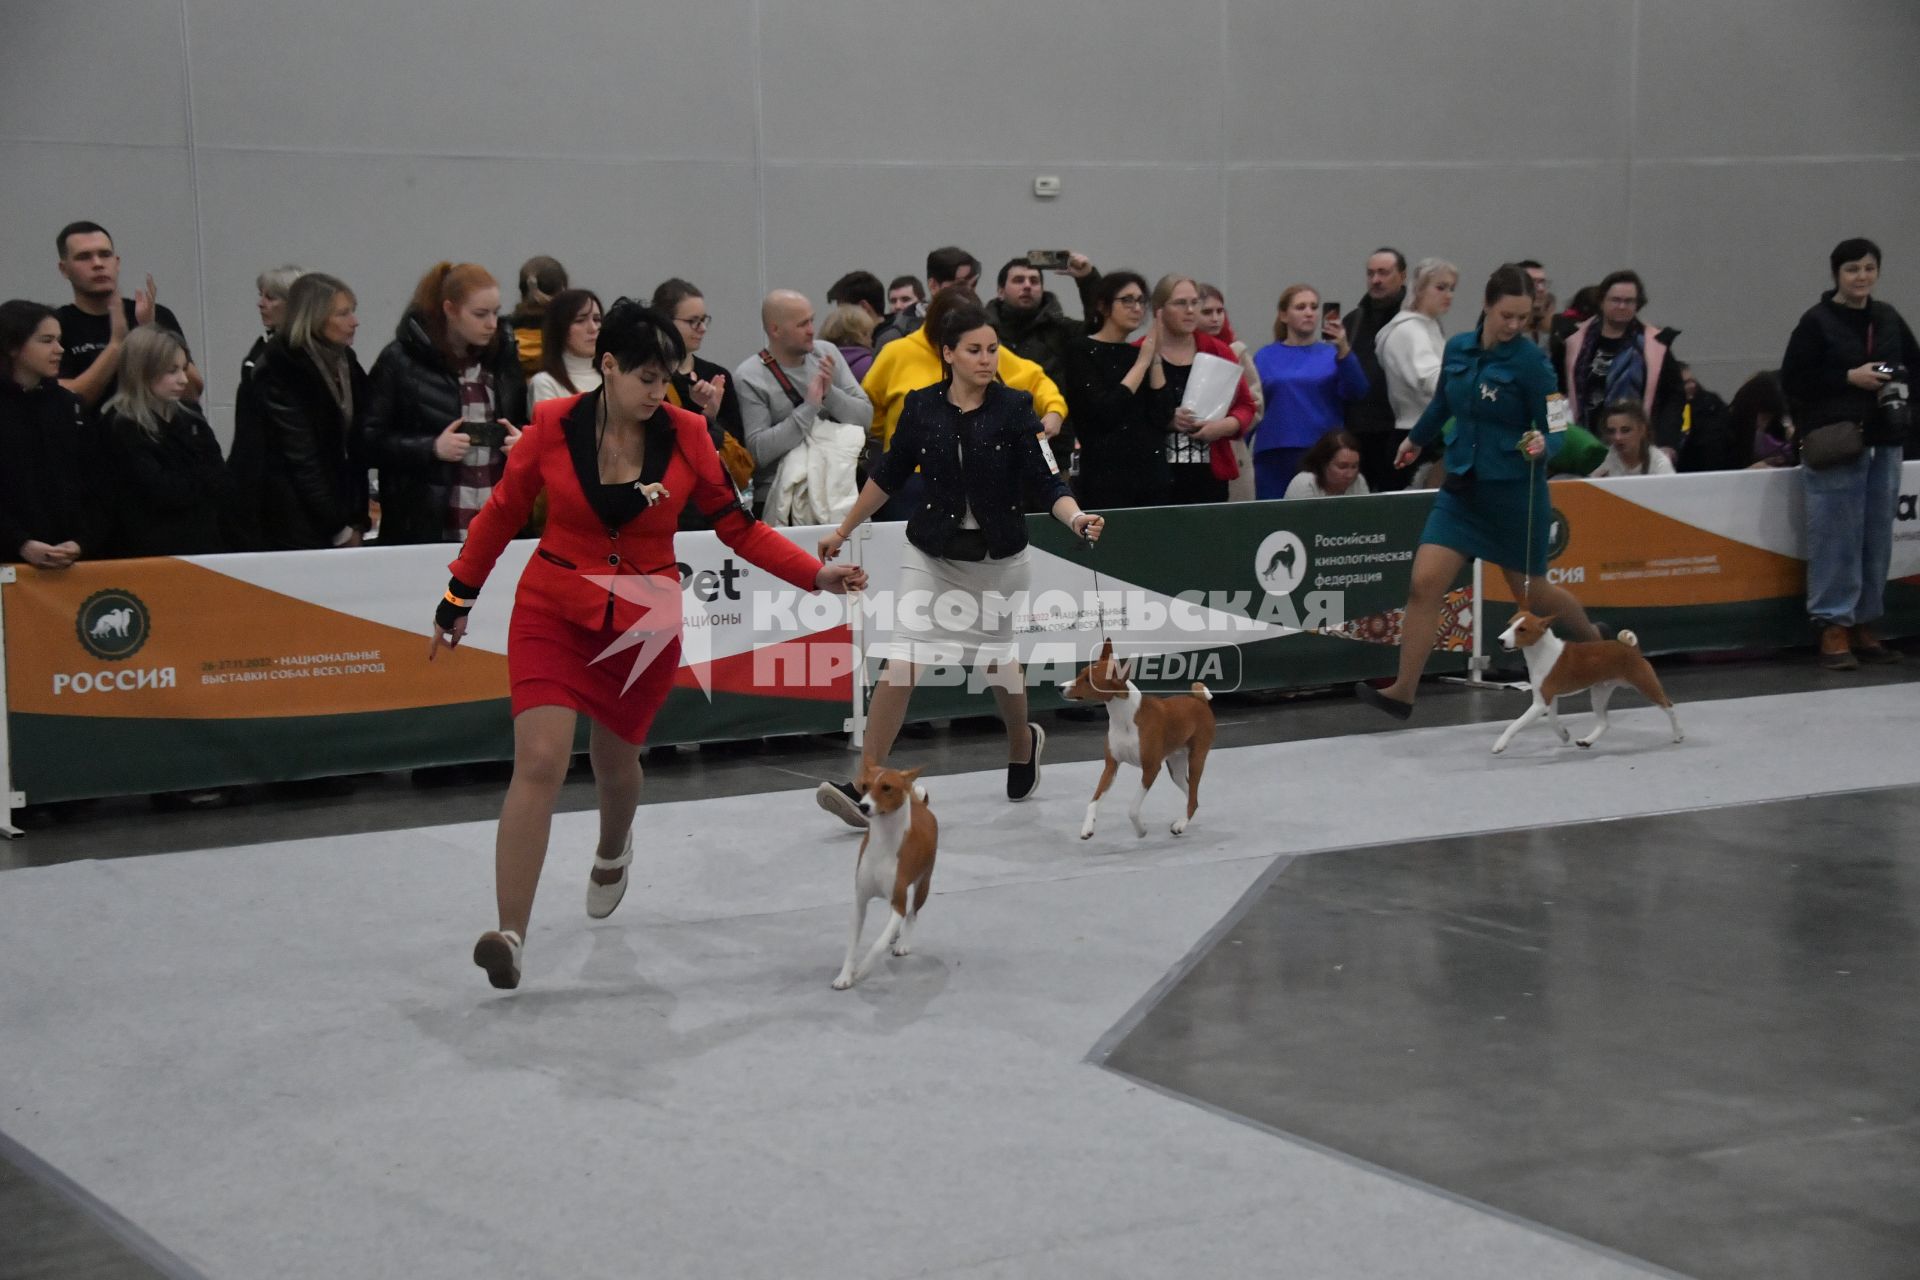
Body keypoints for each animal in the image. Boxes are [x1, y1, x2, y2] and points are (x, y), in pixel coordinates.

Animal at [833, 759, 936, 990]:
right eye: (864, 786)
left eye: (887, 787)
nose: (863, 806)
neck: (883, 845)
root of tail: (921, 806)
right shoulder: (860, 901)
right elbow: (851, 945)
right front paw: (845, 976)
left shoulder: (898, 902)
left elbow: (878, 944)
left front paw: (862, 970)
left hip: (923, 884)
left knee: (912, 913)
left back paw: (903, 943)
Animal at [1052, 640, 1213, 840]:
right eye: (1080, 672)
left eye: (1089, 680)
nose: (1060, 687)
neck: (1125, 718)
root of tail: (1201, 702)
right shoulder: (1111, 765)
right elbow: (1093, 801)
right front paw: (1088, 827)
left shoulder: (1151, 768)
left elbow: (1133, 809)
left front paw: (1141, 829)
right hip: (1176, 767)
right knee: (1193, 795)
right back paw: (1182, 820)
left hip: (1197, 758)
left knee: (1193, 796)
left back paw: (1181, 824)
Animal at [1497, 610, 1681, 752]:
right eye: (1508, 624)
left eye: (1522, 629)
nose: (1500, 640)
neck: (1543, 653)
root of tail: (1632, 649)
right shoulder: (1548, 699)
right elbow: (1552, 721)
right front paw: (1564, 735)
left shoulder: (1541, 703)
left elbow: (1515, 724)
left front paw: (1499, 744)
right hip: (1599, 693)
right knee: (1604, 723)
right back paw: (1586, 741)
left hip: (1646, 685)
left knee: (1670, 707)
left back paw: (1678, 735)